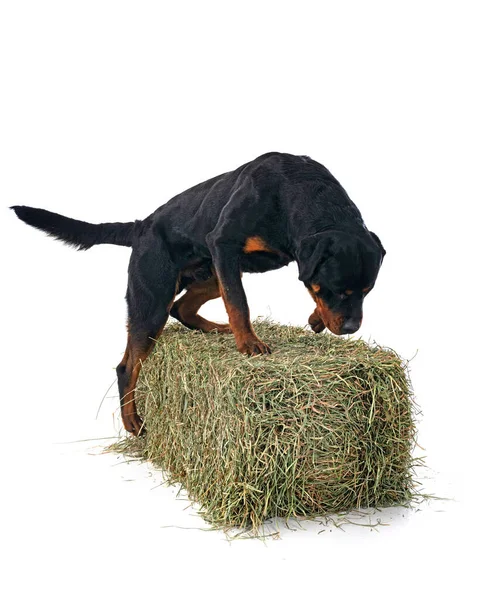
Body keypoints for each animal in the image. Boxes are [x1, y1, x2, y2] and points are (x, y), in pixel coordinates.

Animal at [12, 152, 390, 434]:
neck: (291, 195)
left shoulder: (253, 258)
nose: (351, 328)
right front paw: (250, 344)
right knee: (128, 365)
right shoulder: (224, 243)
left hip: (209, 271)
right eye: (338, 289)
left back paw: (214, 329)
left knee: (182, 308)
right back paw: (133, 422)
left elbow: (296, 286)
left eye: (367, 291)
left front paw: (315, 319)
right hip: (154, 297)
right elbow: (239, 303)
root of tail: (141, 226)